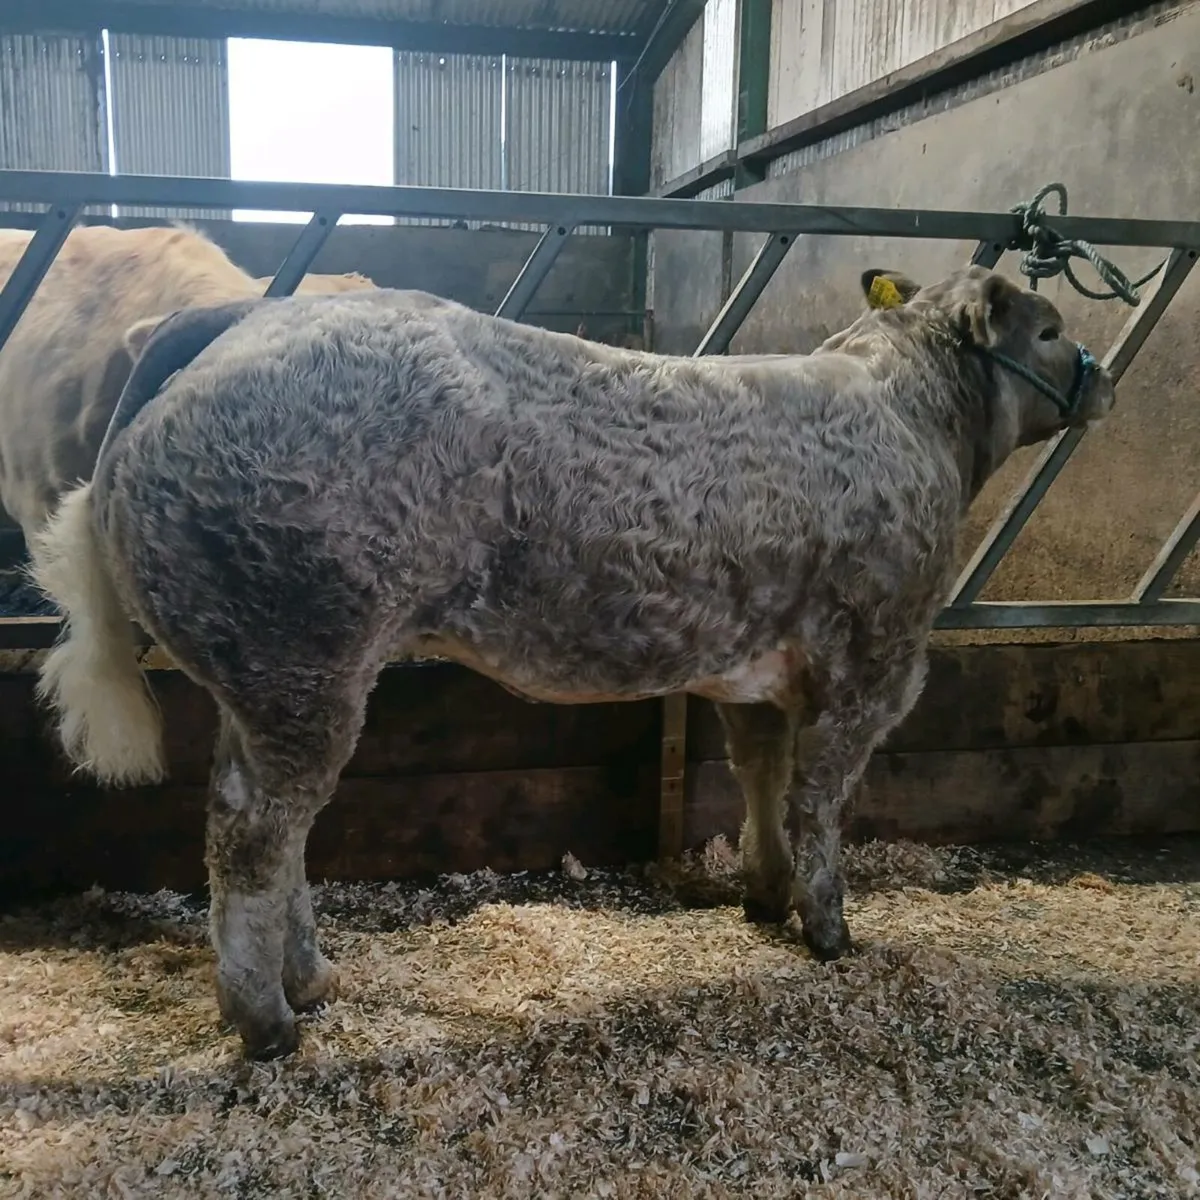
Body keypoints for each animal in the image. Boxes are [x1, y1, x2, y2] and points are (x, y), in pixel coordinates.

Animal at [28, 265, 1113, 1059]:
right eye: (1050, 326)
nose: (1101, 378)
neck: (917, 420)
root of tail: (233, 328)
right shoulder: (877, 656)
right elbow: (820, 800)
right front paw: (831, 933)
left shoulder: (756, 669)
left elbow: (759, 776)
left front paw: (763, 896)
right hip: (303, 655)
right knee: (253, 834)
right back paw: (268, 1023)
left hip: (261, 676)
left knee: (261, 820)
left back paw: (315, 979)